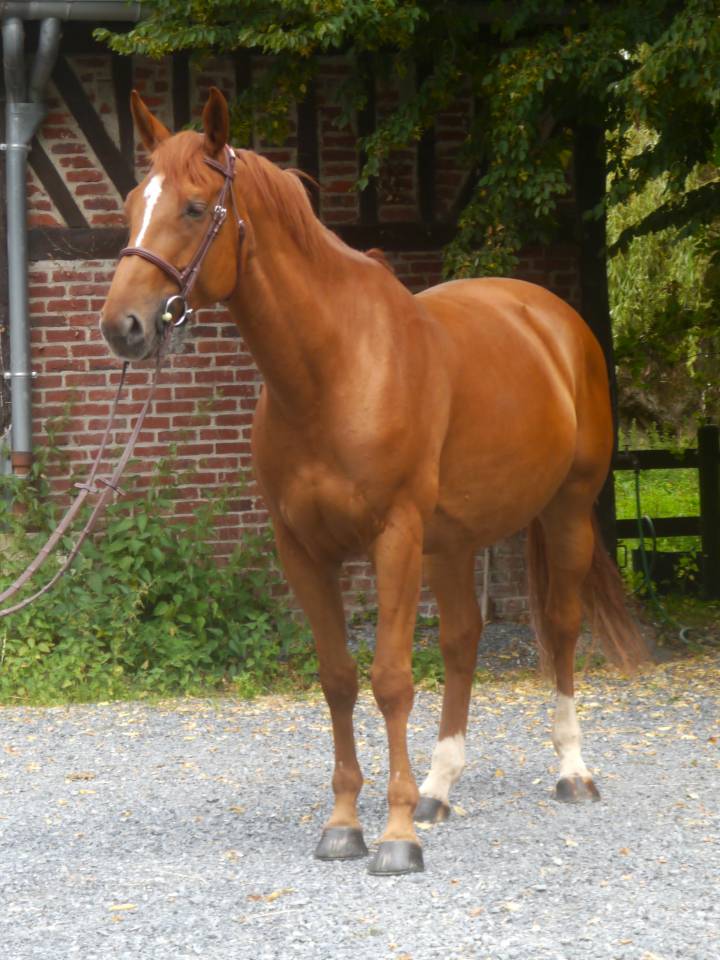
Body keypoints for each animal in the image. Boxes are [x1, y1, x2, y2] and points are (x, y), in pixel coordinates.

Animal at [100, 87, 646, 876]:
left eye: (196, 209)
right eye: (131, 204)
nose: (124, 327)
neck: (334, 370)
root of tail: (552, 319)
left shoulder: (394, 537)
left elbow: (390, 679)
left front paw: (395, 837)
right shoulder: (302, 549)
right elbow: (338, 679)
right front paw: (344, 825)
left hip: (566, 511)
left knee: (563, 629)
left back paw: (571, 772)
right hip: (452, 540)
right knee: (462, 638)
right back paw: (439, 788)